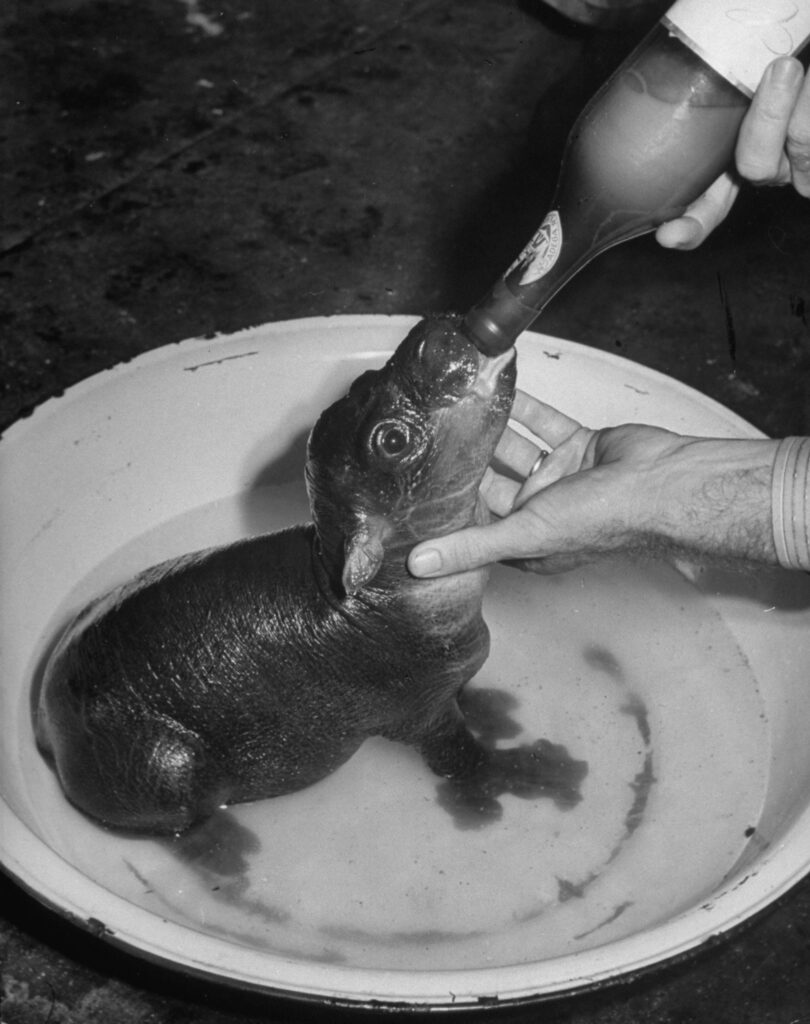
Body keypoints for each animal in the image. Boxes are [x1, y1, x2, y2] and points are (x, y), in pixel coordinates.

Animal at [35, 316, 585, 835]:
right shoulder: (419, 709)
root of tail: (46, 724)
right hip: (167, 764)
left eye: (363, 379)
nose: (432, 334)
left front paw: (496, 713)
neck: (373, 588)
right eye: (392, 439)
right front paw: (528, 772)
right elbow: (460, 758)